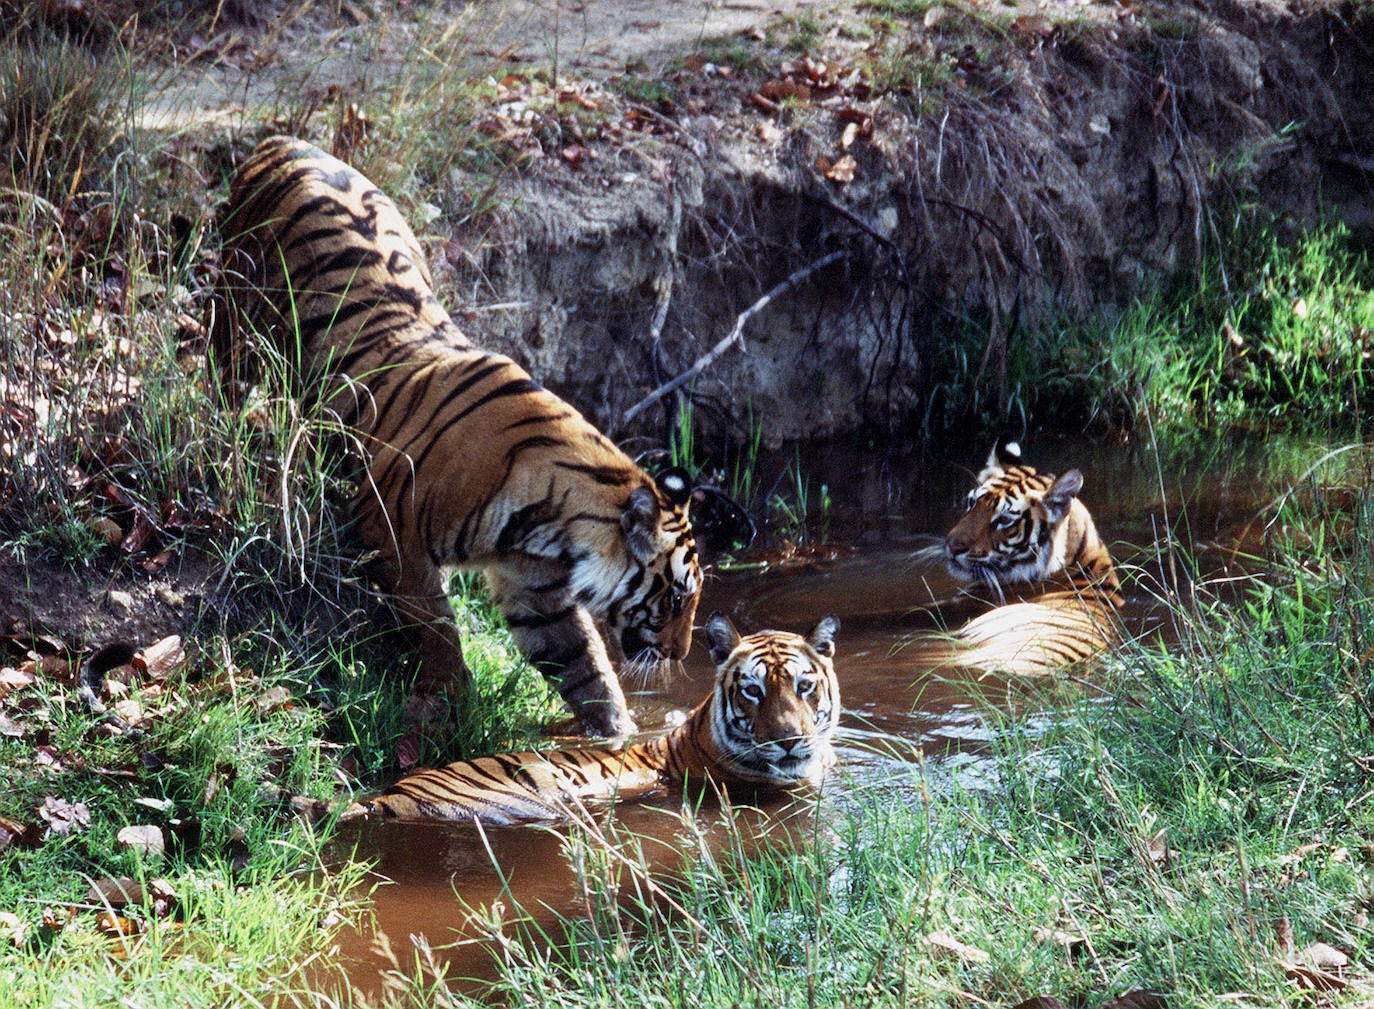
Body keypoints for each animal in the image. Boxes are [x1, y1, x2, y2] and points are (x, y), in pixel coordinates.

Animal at [208, 136, 703, 736]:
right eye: (675, 598)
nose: (680, 655)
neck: (549, 527)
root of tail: (284, 141)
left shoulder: (537, 589)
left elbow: (581, 663)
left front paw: (618, 734)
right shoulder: (394, 537)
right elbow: (439, 629)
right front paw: (454, 707)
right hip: (234, 322)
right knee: (224, 382)